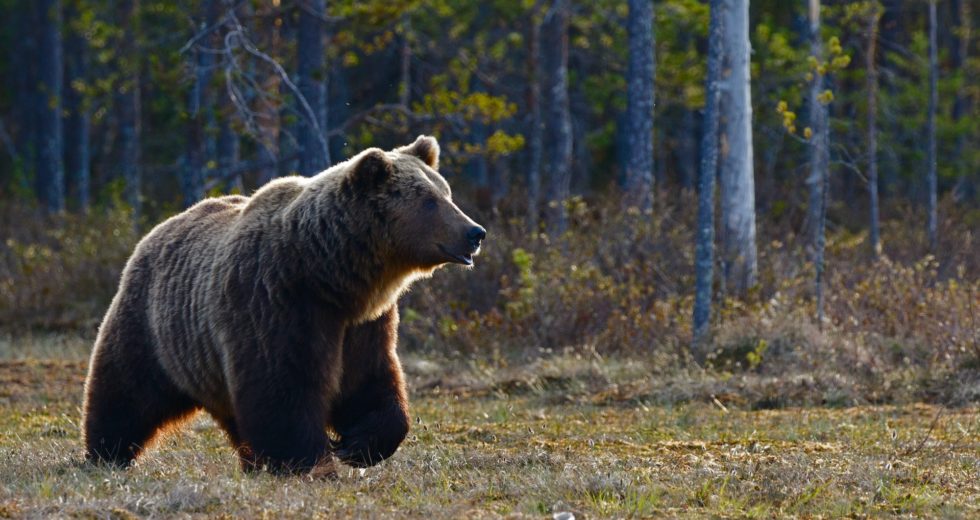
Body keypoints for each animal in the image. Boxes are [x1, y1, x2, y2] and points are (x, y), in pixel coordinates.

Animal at [82, 136, 485, 476]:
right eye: (429, 200)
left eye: (446, 192)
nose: (475, 232)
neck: (330, 275)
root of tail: (158, 229)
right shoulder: (277, 302)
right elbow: (283, 387)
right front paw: (310, 461)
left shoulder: (364, 324)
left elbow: (370, 381)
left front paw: (357, 445)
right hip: (154, 326)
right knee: (126, 390)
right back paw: (106, 453)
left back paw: (250, 461)